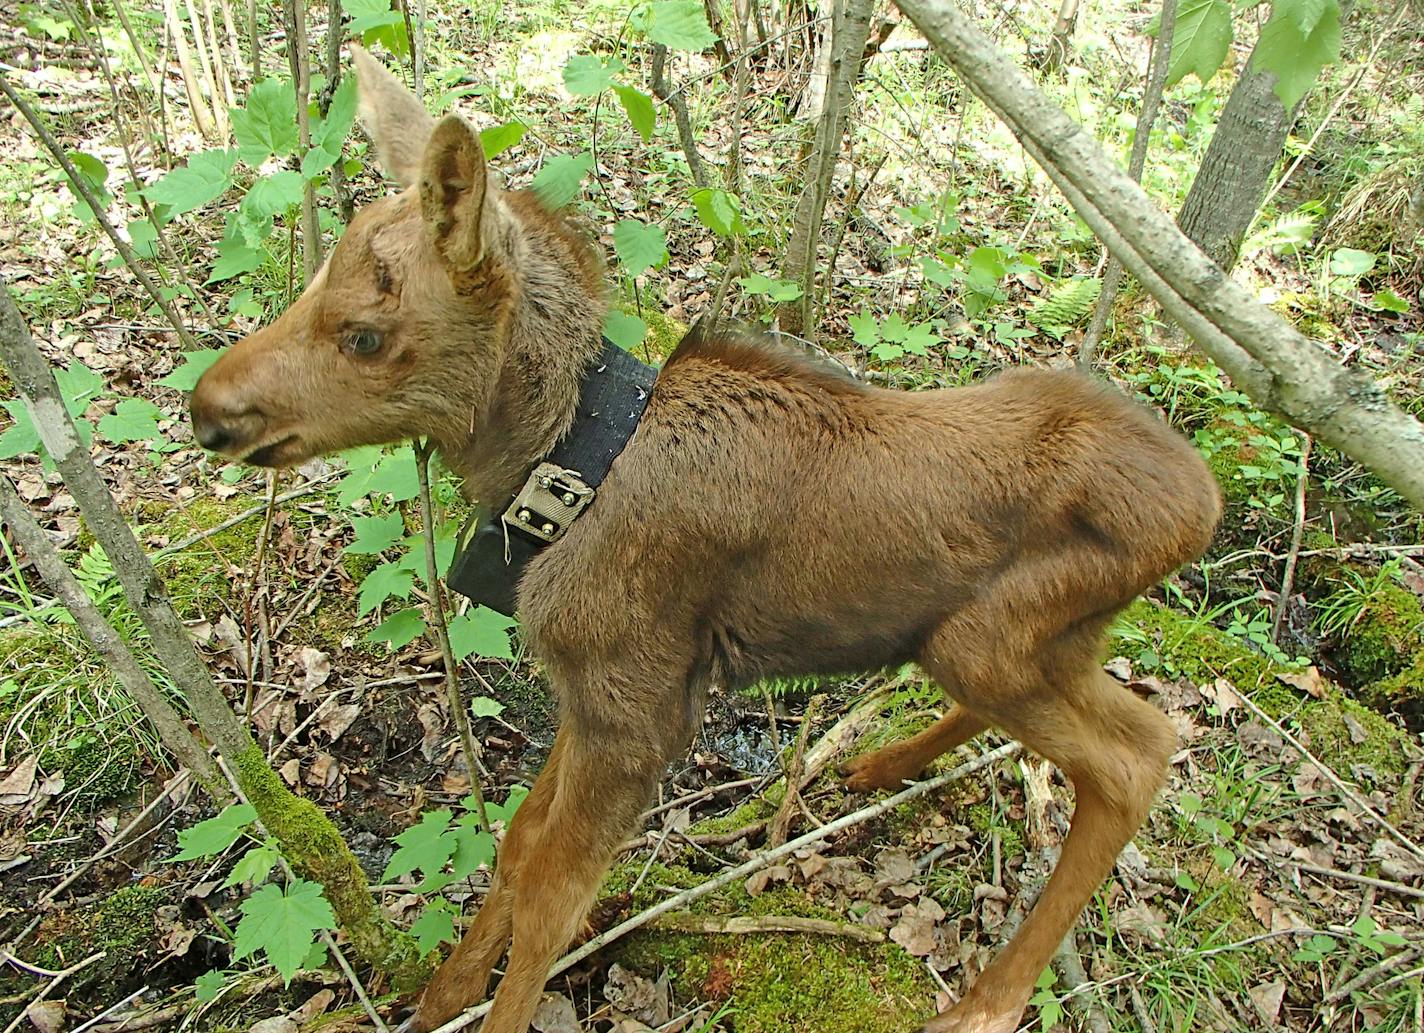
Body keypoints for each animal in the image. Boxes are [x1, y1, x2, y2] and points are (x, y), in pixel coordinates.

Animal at [186, 44, 1213, 1025]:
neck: (563, 468)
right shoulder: (592, 686)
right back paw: (881, 765)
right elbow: (516, 843)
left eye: (363, 332)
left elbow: (556, 893)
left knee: (1142, 751)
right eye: (315, 278)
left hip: (989, 641)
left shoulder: (639, 704)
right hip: (1031, 638)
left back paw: (988, 1000)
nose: (209, 410)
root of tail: (1201, 510)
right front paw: (440, 994)